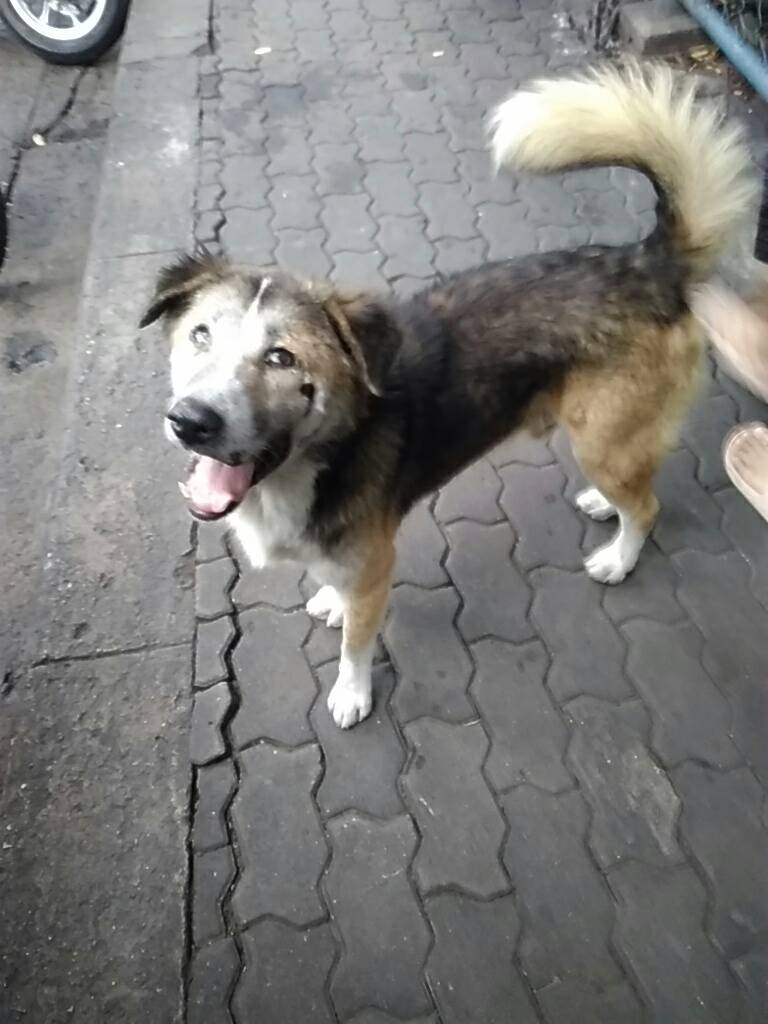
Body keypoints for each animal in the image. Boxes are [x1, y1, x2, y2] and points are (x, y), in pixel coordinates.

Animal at [141, 64, 756, 728]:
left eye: (282, 358)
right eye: (200, 335)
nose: (190, 422)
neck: (322, 457)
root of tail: (648, 264)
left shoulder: (376, 568)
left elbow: (356, 644)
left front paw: (351, 693)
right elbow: (335, 590)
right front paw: (330, 598)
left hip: (603, 441)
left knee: (647, 507)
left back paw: (619, 558)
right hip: (614, 440)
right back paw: (601, 505)